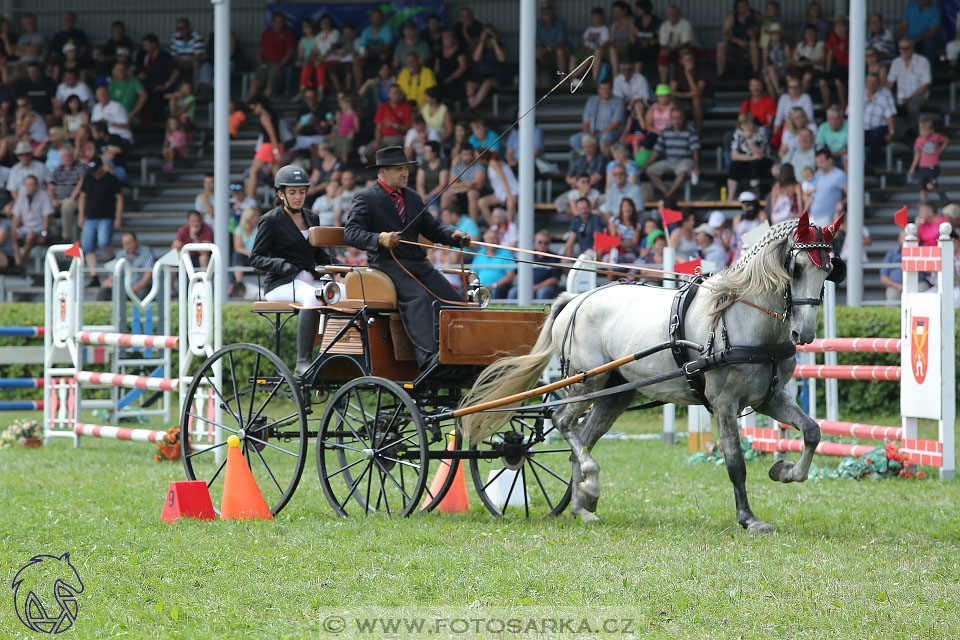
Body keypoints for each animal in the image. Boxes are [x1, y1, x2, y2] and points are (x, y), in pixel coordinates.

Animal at [462, 212, 844, 532]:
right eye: (796, 268)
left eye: (829, 270)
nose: (804, 334)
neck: (739, 317)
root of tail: (576, 299)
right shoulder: (723, 403)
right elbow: (736, 463)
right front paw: (748, 518)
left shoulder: (769, 398)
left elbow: (812, 431)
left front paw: (784, 471)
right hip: (587, 383)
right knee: (562, 423)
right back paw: (590, 481)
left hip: (615, 394)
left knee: (581, 438)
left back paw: (583, 504)